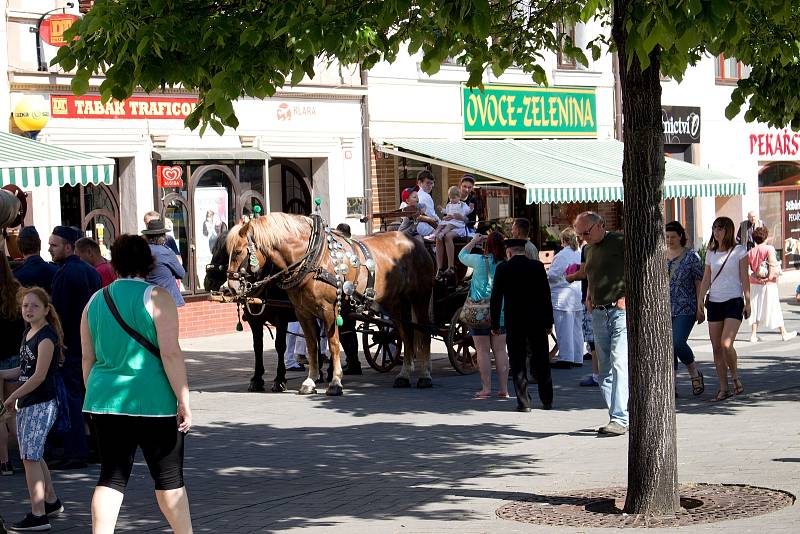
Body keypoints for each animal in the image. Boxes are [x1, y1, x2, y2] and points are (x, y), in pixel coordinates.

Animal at [205, 230, 296, 394]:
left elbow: (280, 346)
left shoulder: (281, 318)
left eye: (225, 251)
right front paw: (257, 379)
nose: (207, 282)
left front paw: (279, 379)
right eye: (213, 249)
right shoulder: (255, 321)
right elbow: (257, 346)